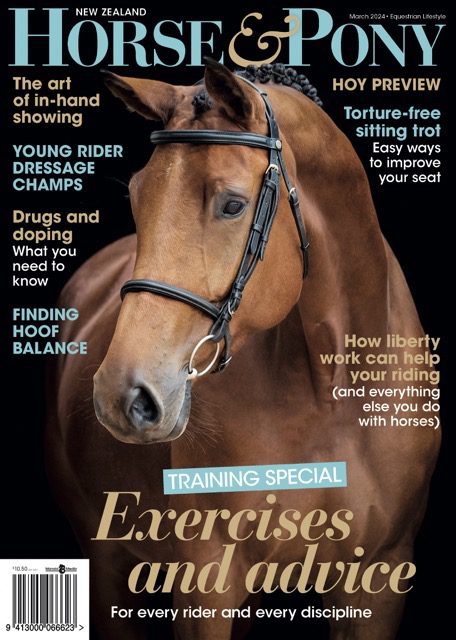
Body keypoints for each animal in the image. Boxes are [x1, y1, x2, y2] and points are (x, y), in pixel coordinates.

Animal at [46, 60, 440, 639]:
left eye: (232, 204)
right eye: (138, 197)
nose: (122, 396)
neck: (329, 397)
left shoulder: (381, 579)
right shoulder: (206, 583)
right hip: (106, 564)